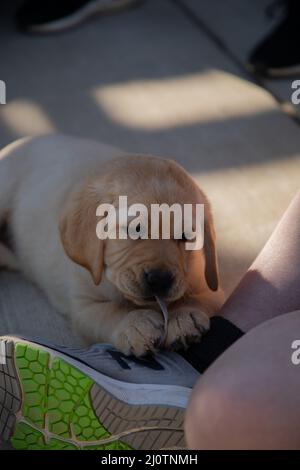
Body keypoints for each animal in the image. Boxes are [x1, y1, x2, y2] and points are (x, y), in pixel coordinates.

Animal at [0, 136, 224, 356]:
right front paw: (134, 324)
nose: (160, 279)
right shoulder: (84, 306)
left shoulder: (207, 285)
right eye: (135, 228)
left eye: (186, 236)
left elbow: (199, 299)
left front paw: (184, 316)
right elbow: (110, 312)